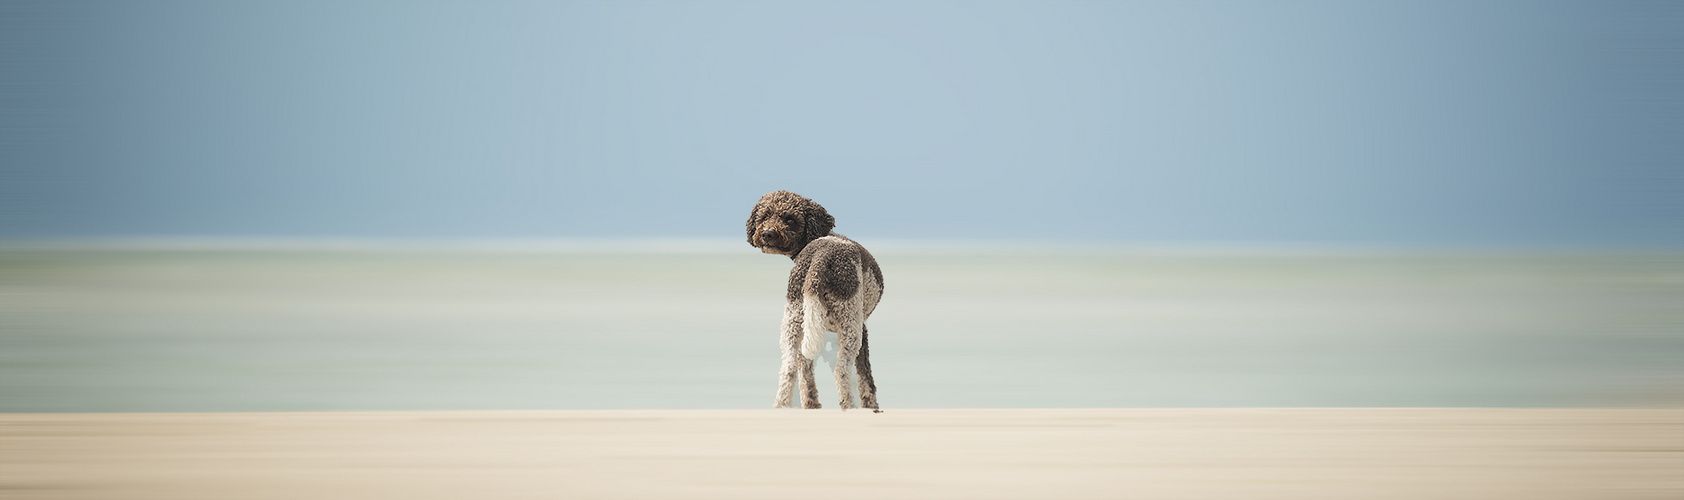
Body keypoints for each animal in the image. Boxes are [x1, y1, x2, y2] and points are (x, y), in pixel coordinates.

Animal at [747, 191, 889, 409]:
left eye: (790, 219)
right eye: (765, 216)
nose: (768, 234)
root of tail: (821, 257)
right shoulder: (862, 329)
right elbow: (866, 378)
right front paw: (871, 406)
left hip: (793, 320)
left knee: (789, 369)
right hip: (850, 325)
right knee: (841, 371)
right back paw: (848, 406)